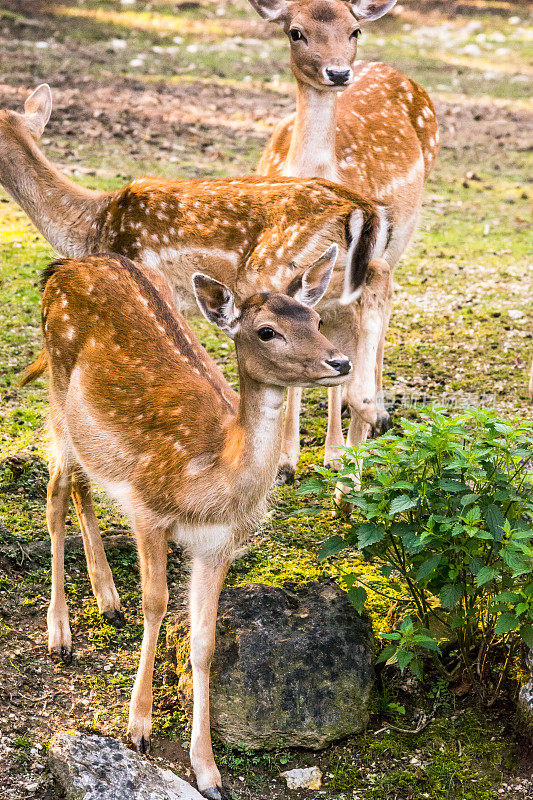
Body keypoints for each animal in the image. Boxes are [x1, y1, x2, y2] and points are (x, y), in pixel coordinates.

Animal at [2, 84, 392, 488]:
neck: (89, 228)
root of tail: (364, 209)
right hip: (333, 276)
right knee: (370, 295)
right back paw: (358, 446)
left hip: (276, 269)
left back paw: (347, 428)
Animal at [25, 252, 352, 800]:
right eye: (266, 331)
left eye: (317, 320)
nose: (341, 362)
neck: (208, 481)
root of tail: (62, 266)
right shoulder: (147, 508)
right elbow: (156, 606)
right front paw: (137, 728)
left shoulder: (218, 545)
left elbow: (204, 643)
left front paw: (209, 771)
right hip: (57, 395)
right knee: (54, 494)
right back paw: (60, 632)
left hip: (88, 435)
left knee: (82, 487)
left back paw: (107, 597)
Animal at [247, 0, 438, 482]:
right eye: (295, 31)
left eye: (354, 31)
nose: (337, 73)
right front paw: (284, 461)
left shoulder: (368, 267)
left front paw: (346, 451)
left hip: (402, 235)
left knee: (380, 325)